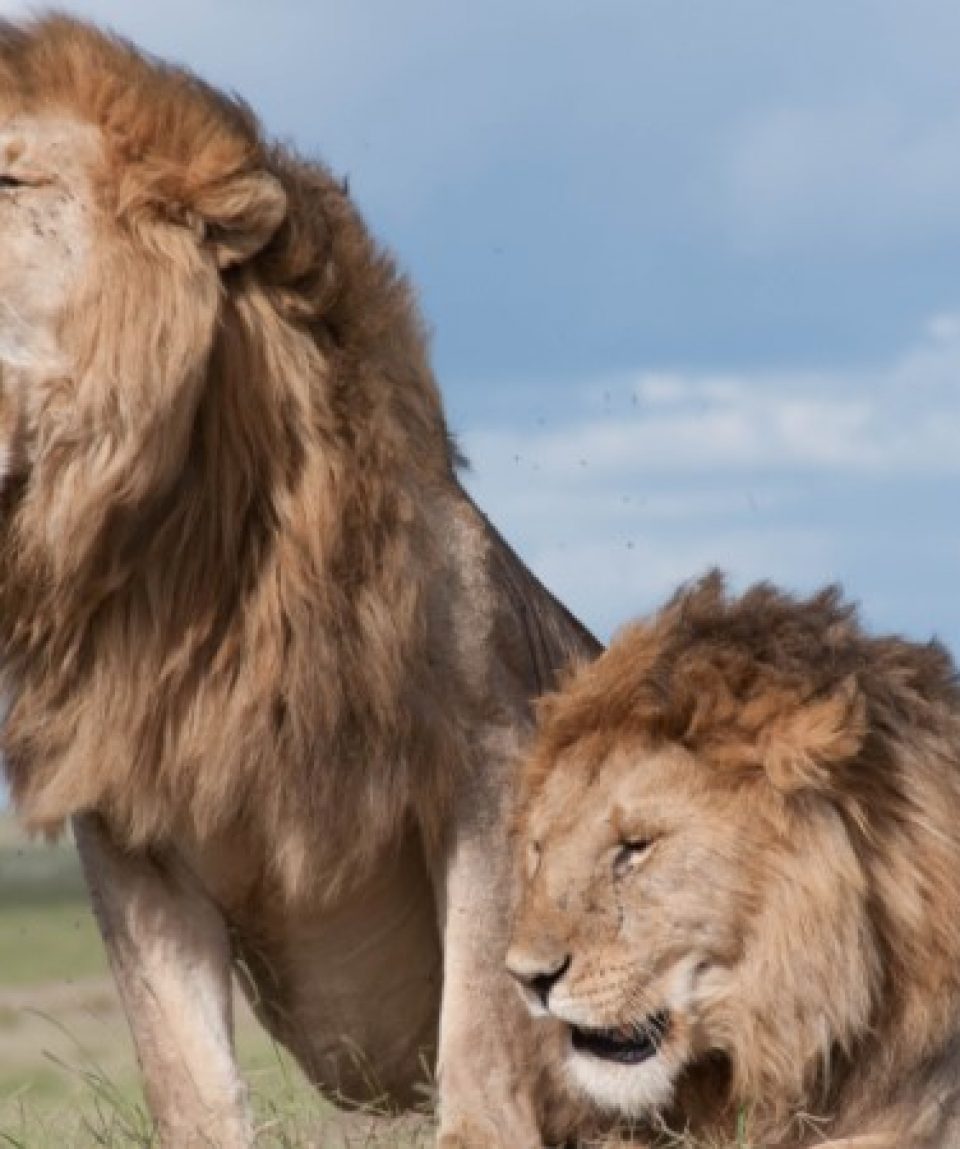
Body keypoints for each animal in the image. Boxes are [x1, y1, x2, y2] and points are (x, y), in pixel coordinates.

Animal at [0, 11, 601, 1149]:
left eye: (10, 179)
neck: (185, 567)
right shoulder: (129, 831)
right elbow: (185, 1075)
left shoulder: (487, 758)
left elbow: (481, 1034)